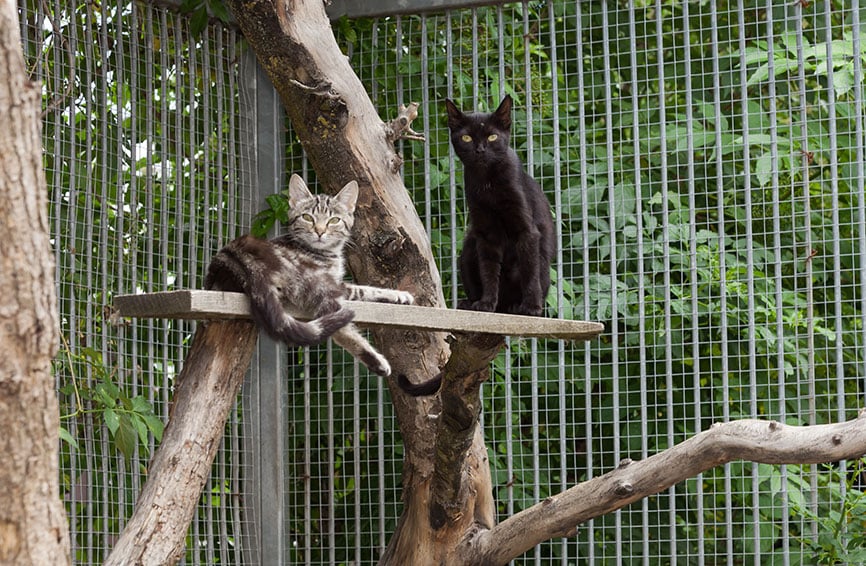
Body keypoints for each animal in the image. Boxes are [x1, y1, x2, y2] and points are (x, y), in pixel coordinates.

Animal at [208, 173, 414, 378]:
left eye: (334, 220)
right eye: (307, 217)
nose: (320, 231)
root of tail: (233, 258)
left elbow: (365, 289)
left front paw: (398, 296)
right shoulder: (331, 282)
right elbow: (363, 291)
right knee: (338, 325)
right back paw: (377, 361)